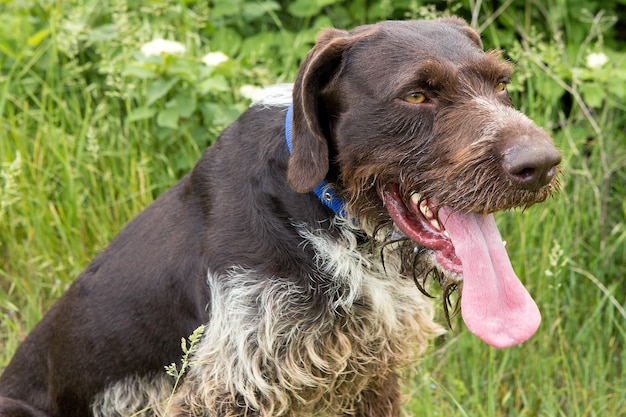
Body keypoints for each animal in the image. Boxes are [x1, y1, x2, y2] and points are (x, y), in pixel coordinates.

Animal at [0, 17, 556, 416]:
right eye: (416, 94)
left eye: (501, 84)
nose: (542, 164)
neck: (328, 219)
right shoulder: (228, 389)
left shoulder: (371, 375)